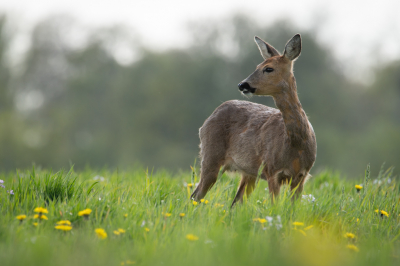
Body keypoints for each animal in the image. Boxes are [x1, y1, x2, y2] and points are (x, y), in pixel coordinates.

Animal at [191, 33, 316, 208]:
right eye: (257, 66)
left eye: (268, 68)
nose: (242, 84)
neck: (296, 145)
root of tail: (206, 121)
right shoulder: (271, 170)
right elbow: (275, 206)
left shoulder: (301, 176)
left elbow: (292, 208)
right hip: (210, 155)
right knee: (196, 194)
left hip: (248, 172)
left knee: (235, 202)